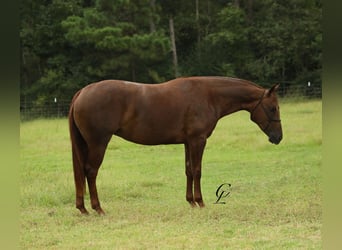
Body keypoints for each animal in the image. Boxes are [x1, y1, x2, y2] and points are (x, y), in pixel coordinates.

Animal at [68, 76, 282, 215]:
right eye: (273, 108)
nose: (278, 137)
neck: (209, 95)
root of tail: (82, 92)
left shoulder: (188, 142)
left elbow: (188, 170)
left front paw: (191, 202)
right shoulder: (198, 140)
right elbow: (197, 171)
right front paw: (200, 202)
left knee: (83, 172)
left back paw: (83, 208)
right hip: (98, 143)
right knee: (90, 172)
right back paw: (98, 208)